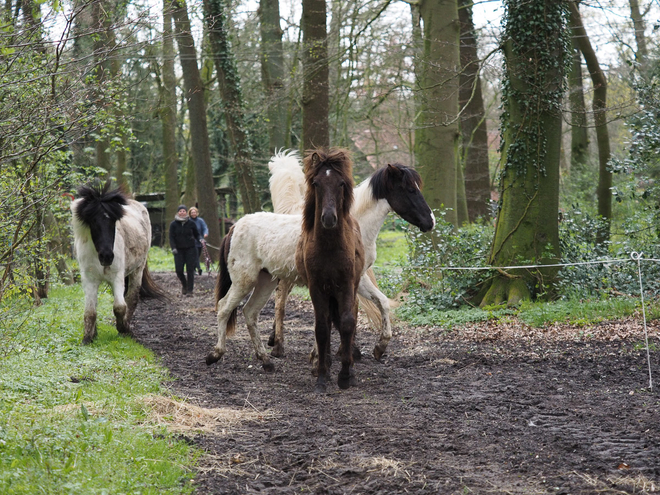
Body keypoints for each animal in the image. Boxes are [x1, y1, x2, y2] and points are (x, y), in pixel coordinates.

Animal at [70, 182, 165, 344]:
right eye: (93, 221)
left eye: (113, 221)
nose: (107, 256)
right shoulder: (89, 280)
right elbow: (90, 311)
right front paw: (88, 338)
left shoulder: (117, 276)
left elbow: (120, 307)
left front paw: (123, 328)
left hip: (137, 270)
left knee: (132, 298)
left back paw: (126, 327)